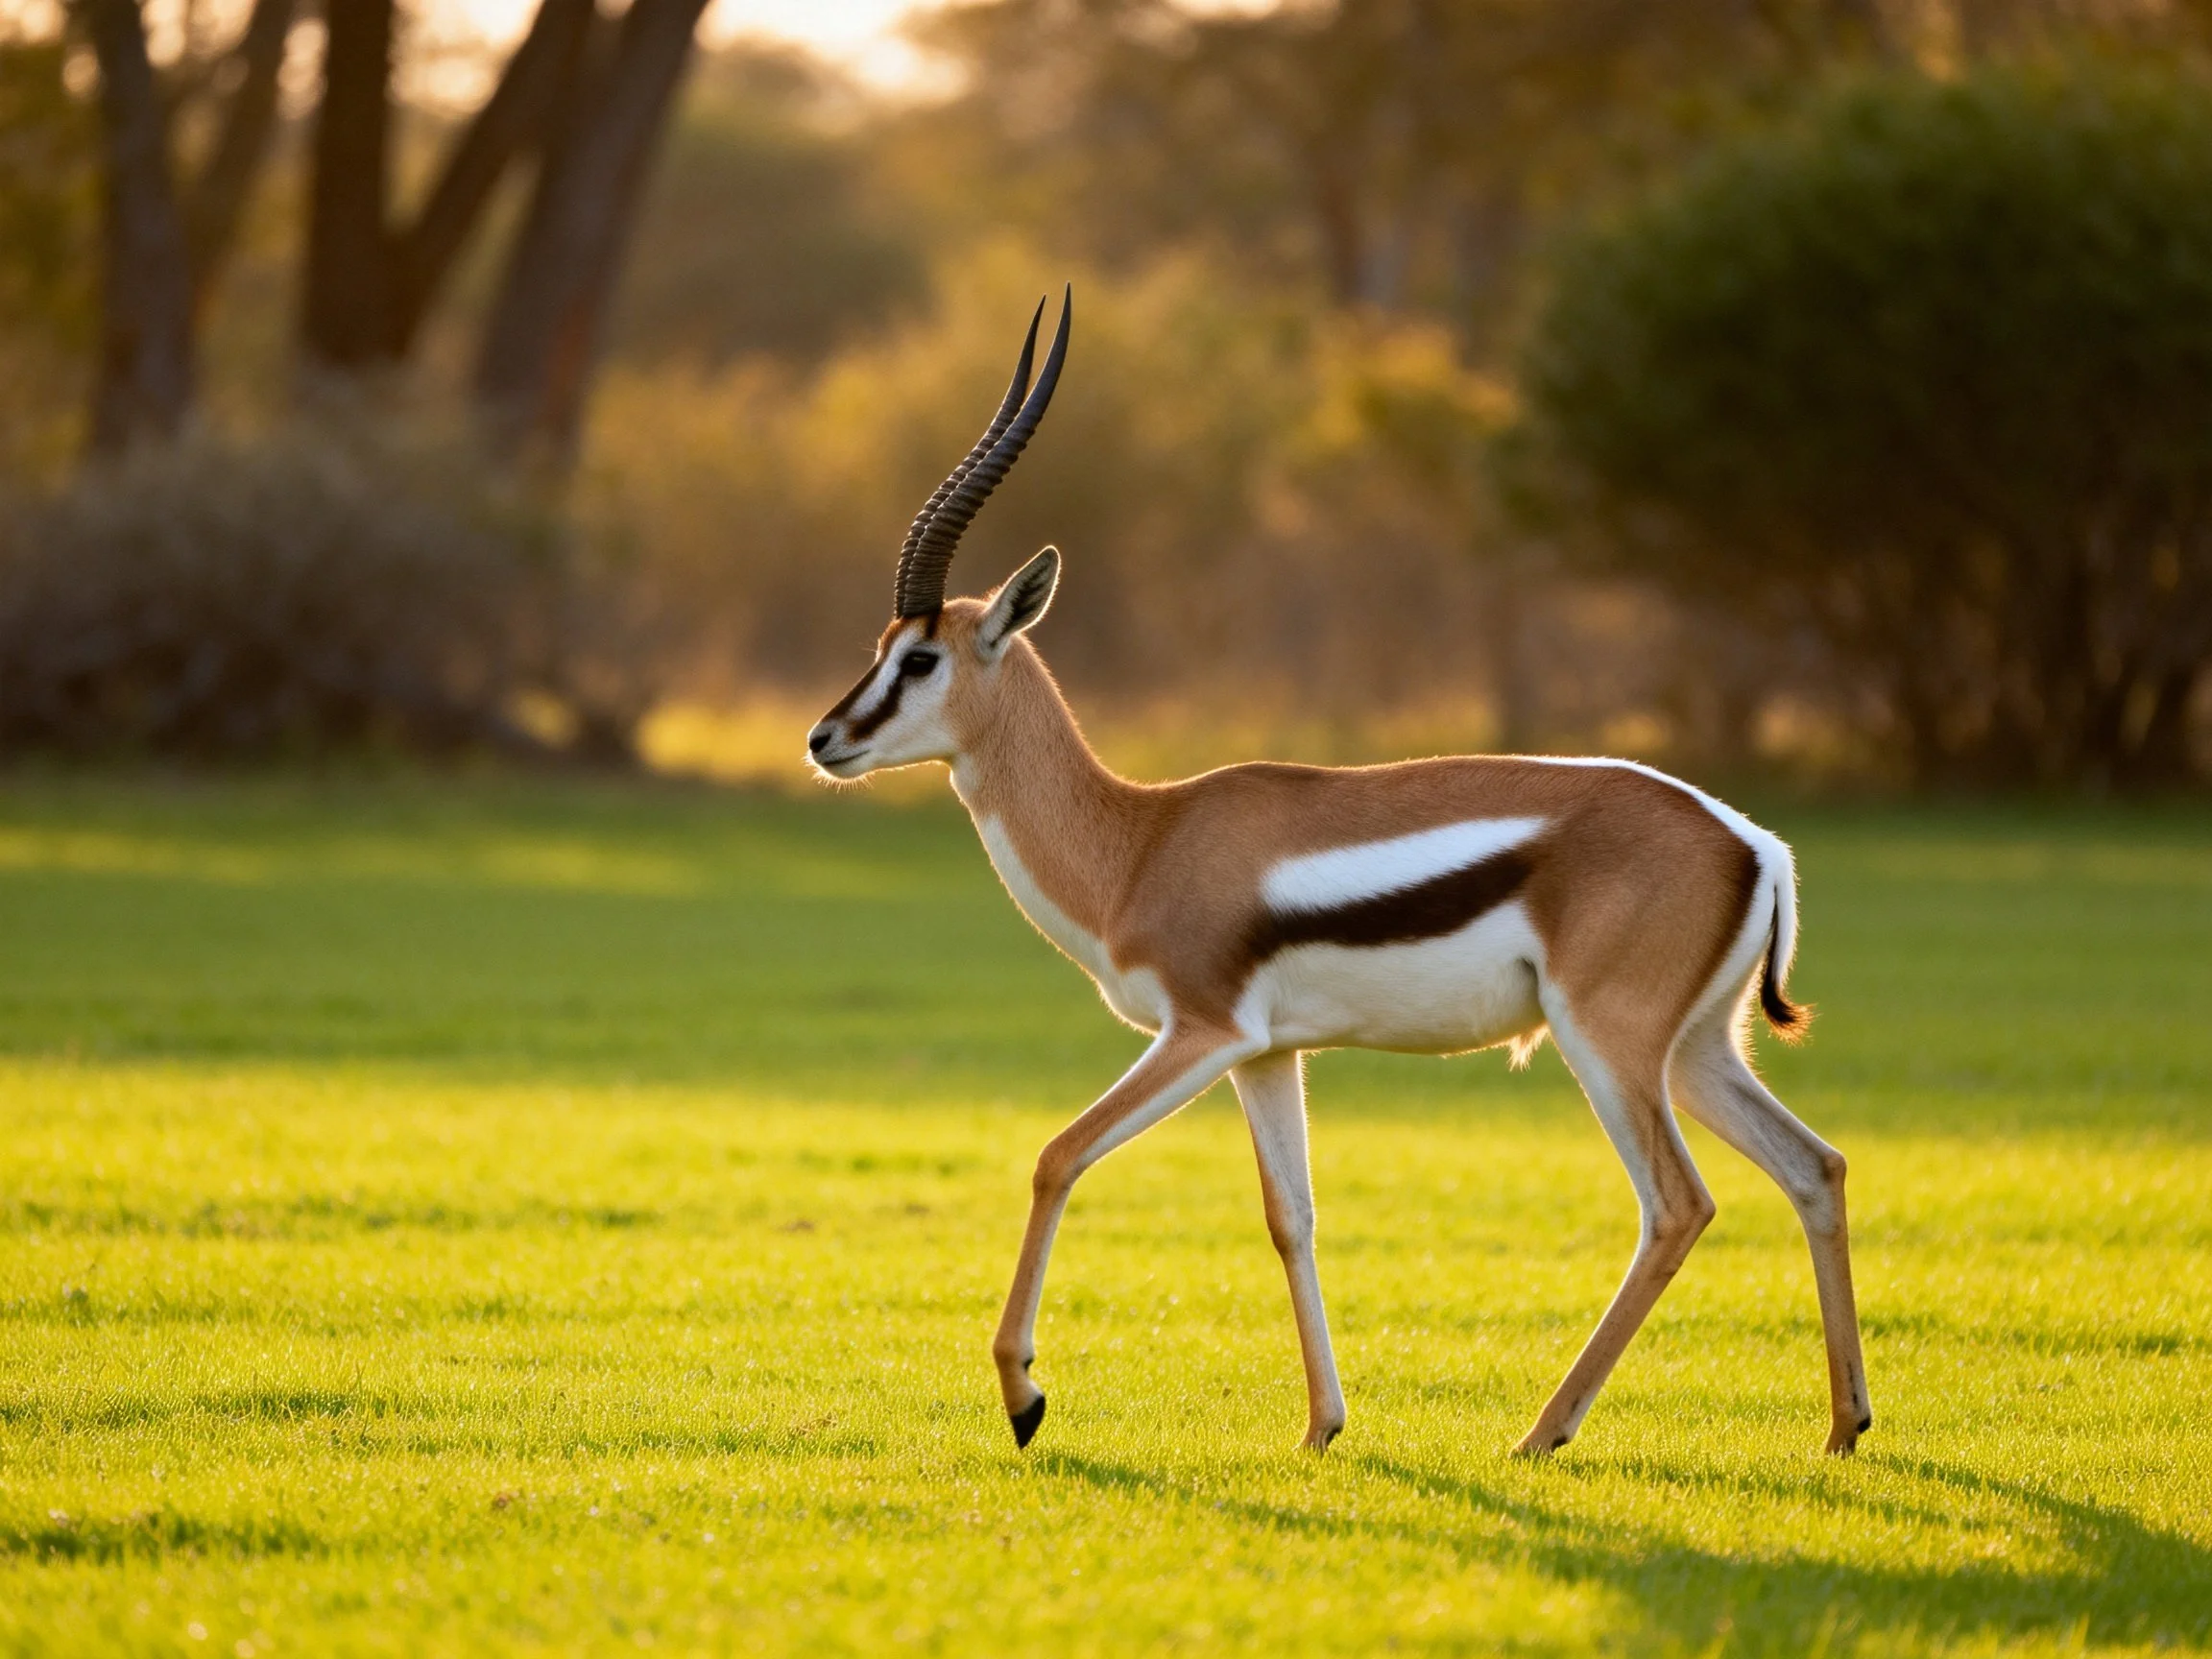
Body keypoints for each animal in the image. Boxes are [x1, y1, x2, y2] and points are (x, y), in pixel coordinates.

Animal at [806, 290, 1871, 1458]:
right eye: (878, 647)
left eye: (920, 658)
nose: (824, 739)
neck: (1141, 842)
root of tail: (1750, 842)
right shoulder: (1269, 1054)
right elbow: (1292, 1217)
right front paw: (1323, 1425)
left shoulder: (1203, 1032)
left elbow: (1057, 1154)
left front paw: (1025, 1397)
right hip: (1698, 1049)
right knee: (1814, 1166)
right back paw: (1843, 1426)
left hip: (1610, 1043)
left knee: (1679, 1206)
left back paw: (1542, 1434)